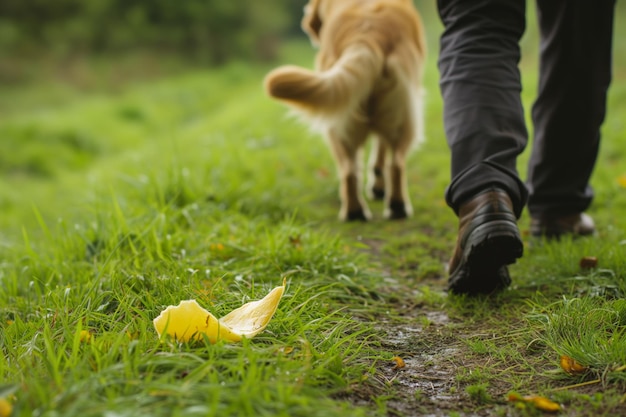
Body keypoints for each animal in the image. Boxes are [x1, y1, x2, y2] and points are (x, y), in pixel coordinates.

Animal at [264, 0, 424, 221]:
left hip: (342, 122)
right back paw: (394, 207)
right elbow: (380, 153)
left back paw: (357, 210)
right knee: (395, 163)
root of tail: (366, 36)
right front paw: (378, 188)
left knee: (352, 169)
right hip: (401, 120)